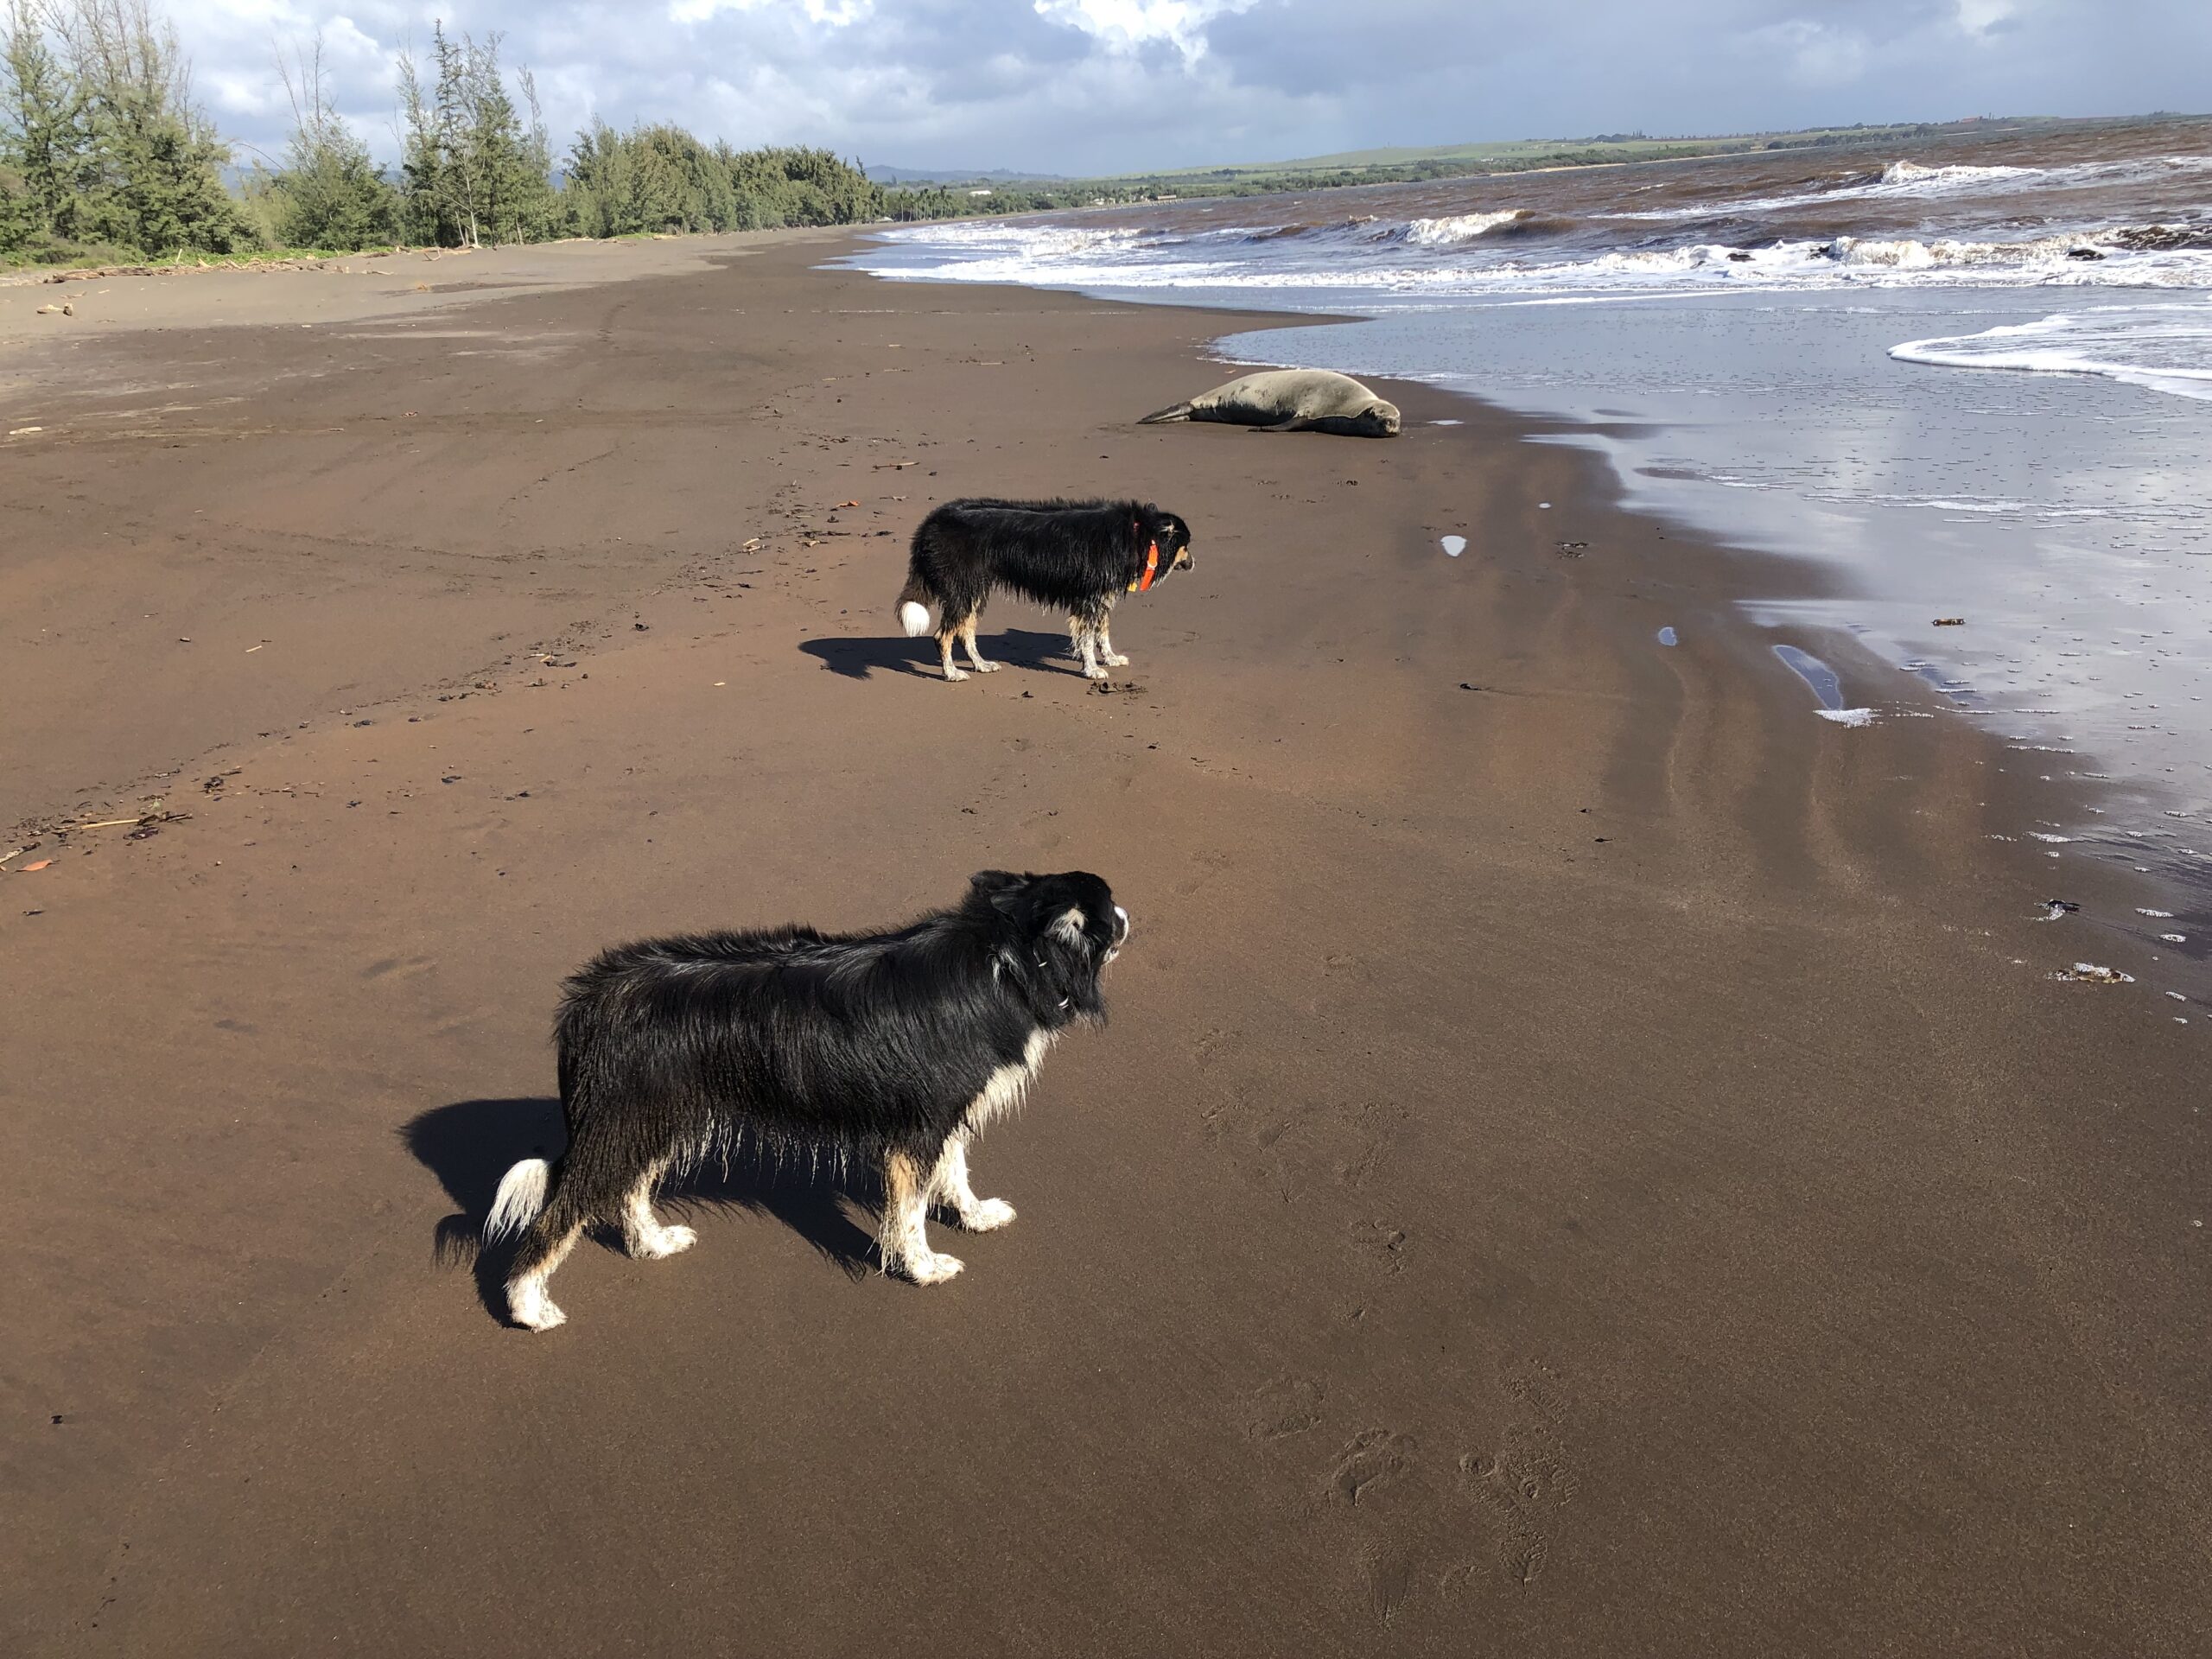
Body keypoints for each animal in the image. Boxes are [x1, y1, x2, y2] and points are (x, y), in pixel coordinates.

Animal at [482, 870, 1130, 1330]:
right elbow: (909, 1213)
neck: (1005, 954)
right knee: (561, 1211)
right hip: (624, 1119)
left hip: (656, 1118)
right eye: (1108, 906)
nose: (1130, 914)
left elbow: (955, 1173)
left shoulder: (939, 1111)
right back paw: (528, 1308)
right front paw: (924, 1268)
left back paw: (654, 1244)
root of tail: (587, 1004)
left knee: (629, 1189)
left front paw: (976, 1217)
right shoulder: (915, 1131)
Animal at [895, 498, 1193, 681]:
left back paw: (981, 664)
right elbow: (1087, 638)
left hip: (975, 590)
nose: (1193, 564)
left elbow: (1103, 633)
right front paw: (1092, 669)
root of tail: (931, 523)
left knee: (964, 631)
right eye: (1186, 545)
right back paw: (952, 673)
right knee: (943, 636)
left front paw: (1110, 658)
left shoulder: (1100, 596)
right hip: (962, 589)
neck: (1138, 531)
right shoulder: (1088, 598)